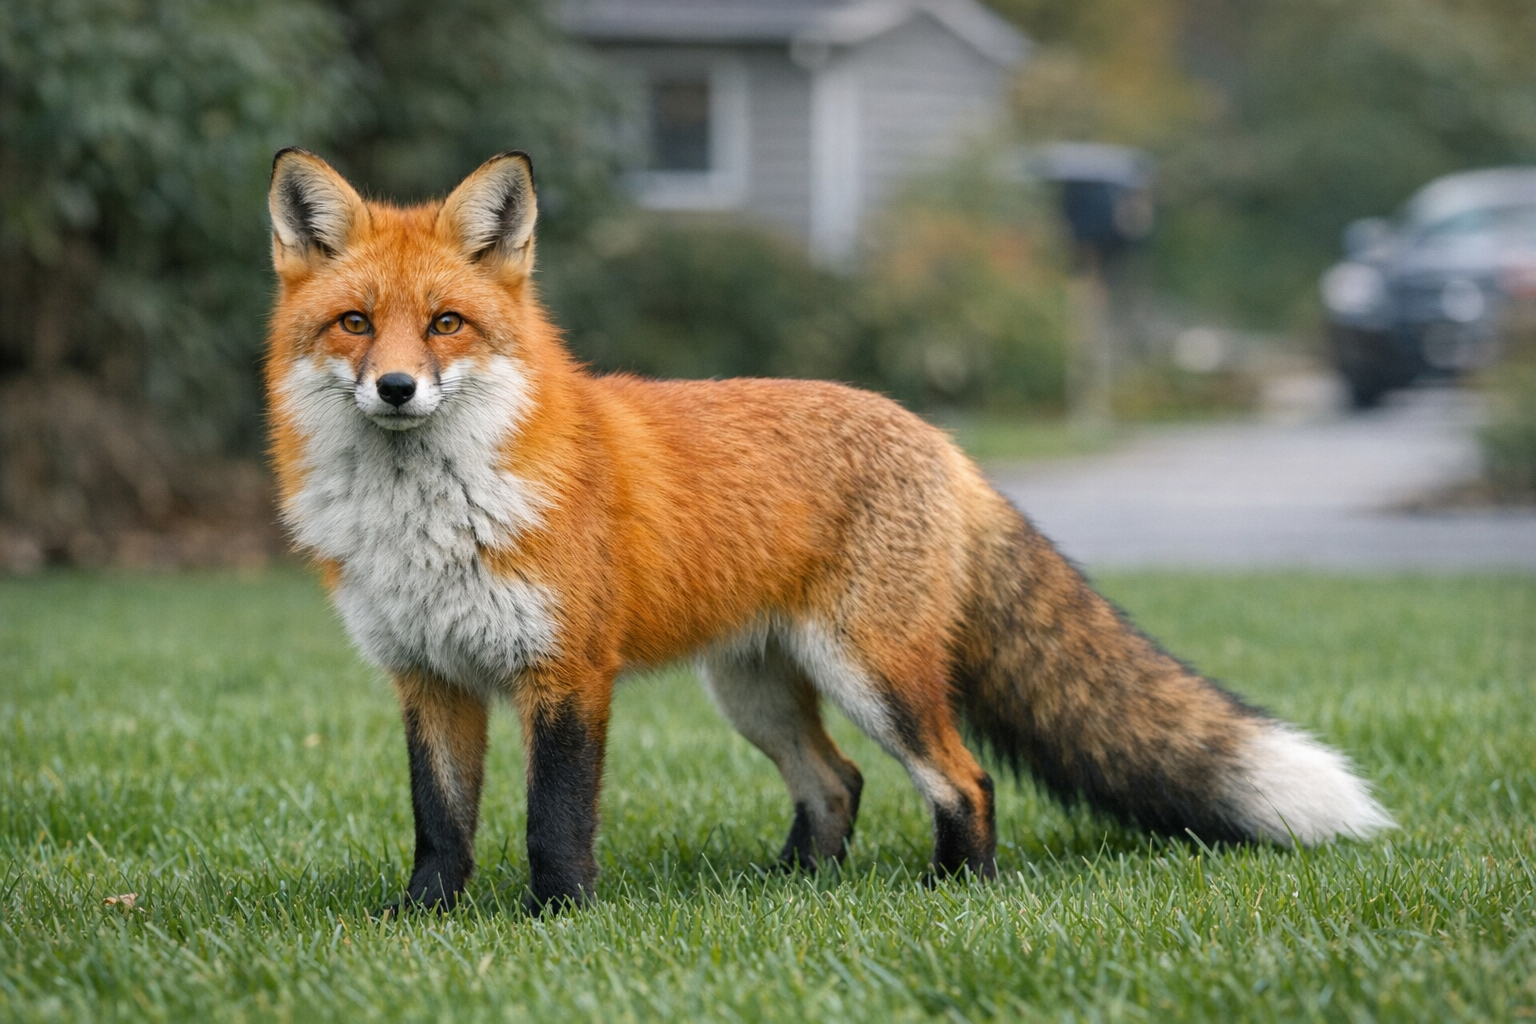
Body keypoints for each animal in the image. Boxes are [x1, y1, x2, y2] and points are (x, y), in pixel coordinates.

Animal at [264, 149, 1394, 914]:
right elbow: (439, 824)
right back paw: (792, 888)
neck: (430, 514)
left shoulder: (567, 673)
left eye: (446, 324)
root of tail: (938, 436)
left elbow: (554, 819)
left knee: (963, 777)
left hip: (873, 672)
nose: (398, 388)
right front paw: (426, 920)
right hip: (757, 688)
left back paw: (954, 892)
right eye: (356, 324)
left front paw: (557, 920)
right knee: (837, 782)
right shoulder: (429, 677)